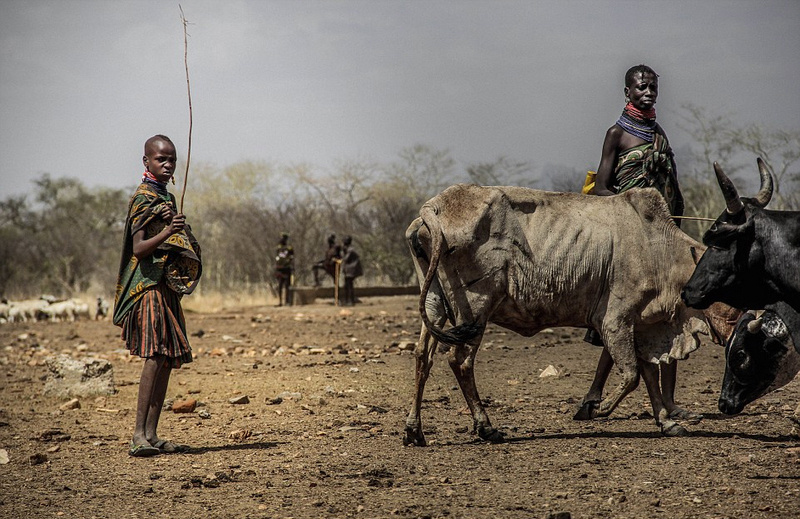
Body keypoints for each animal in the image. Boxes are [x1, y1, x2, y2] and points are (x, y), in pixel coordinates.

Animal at [404, 184, 736, 446]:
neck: (659, 250)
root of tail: (434, 207)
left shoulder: (640, 326)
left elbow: (648, 376)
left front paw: (667, 422)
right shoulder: (615, 321)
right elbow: (631, 376)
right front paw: (599, 409)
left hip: (435, 304)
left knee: (423, 356)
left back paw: (414, 431)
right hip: (475, 308)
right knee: (459, 361)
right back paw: (486, 427)